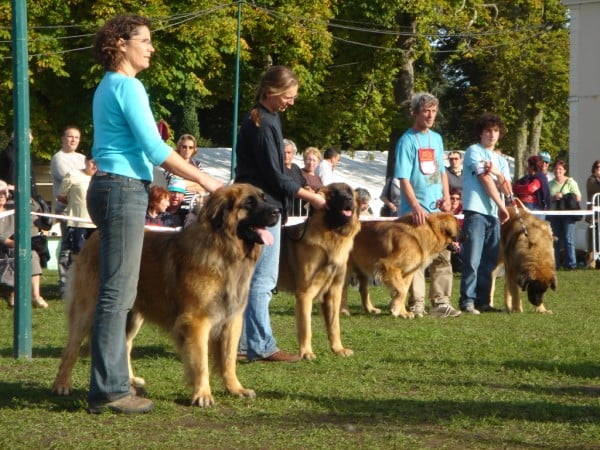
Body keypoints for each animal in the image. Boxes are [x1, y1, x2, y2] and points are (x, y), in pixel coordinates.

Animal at [52, 183, 278, 408]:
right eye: (249, 202)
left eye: (264, 198)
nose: (278, 211)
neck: (224, 250)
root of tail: (94, 237)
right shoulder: (197, 321)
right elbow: (201, 361)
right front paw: (203, 394)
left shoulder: (232, 319)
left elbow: (229, 360)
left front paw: (235, 389)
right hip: (87, 309)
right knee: (71, 348)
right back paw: (62, 385)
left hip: (132, 315)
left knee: (124, 344)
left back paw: (130, 381)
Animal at [278, 181, 360, 360]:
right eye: (334, 193)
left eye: (349, 191)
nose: (348, 199)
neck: (332, 232)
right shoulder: (305, 293)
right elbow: (306, 327)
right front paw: (306, 353)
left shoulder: (334, 291)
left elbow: (334, 325)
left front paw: (338, 349)